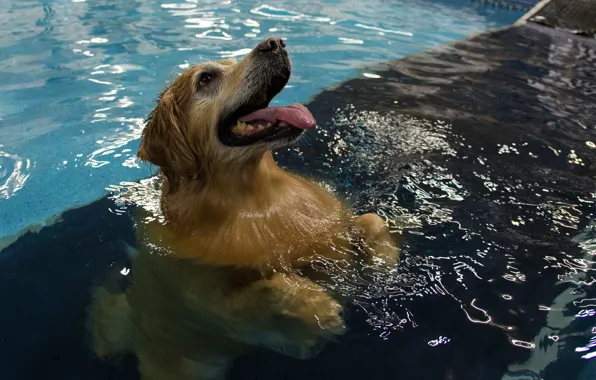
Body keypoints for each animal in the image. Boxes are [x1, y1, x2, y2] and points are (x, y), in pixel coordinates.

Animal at [88, 36, 400, 380]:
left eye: (231, 61)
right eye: (206, 79)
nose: (275, 43)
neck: (257, 198)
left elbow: (371, 220)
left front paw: (384, 261)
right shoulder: (217, 306)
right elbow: (270, 285)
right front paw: (317, 305)